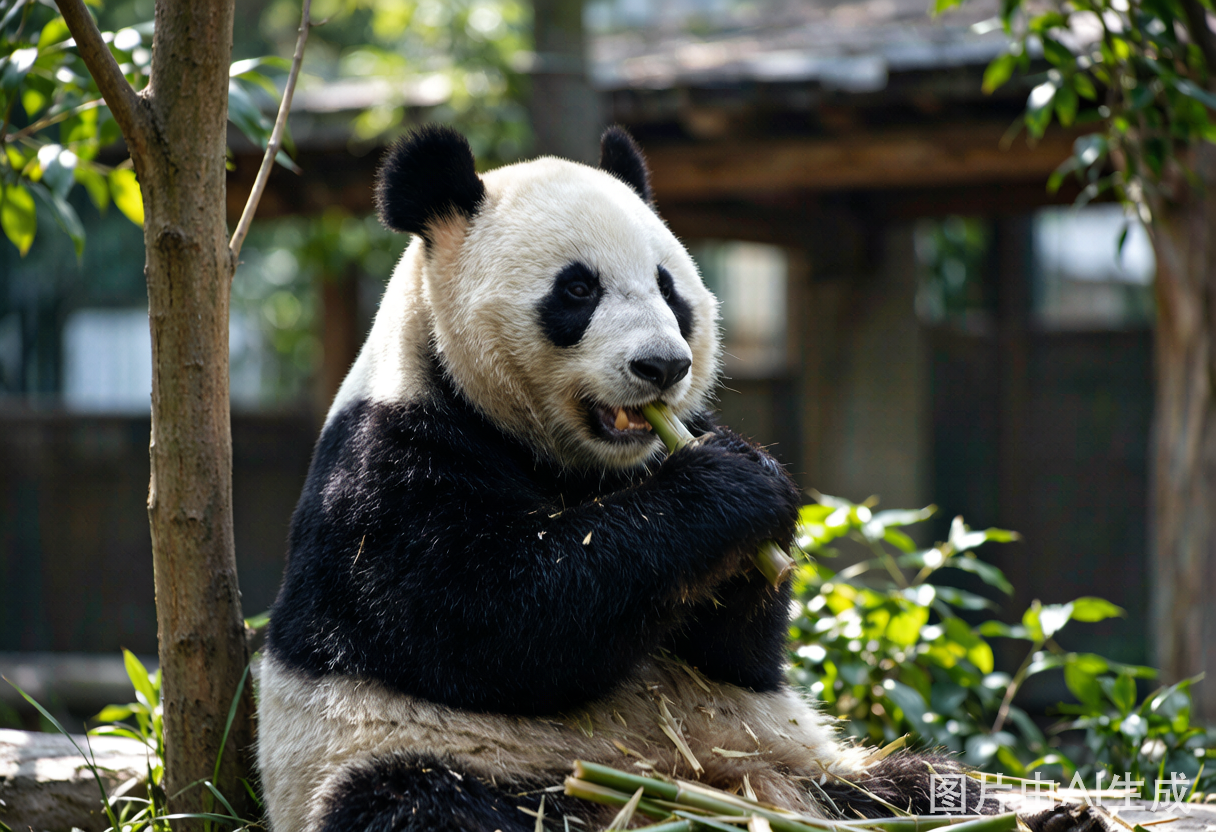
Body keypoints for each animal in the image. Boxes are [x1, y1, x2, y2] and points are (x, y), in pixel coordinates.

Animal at [257, 125, 986, 831]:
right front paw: (729, 490)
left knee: (925, 788)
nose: (662, 366)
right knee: (423, 803)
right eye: (578, 289)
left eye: (669, 288)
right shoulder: (388, 468)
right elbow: (493, 618)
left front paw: (765, 504)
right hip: (431, 758)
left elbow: (736, 658)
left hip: (805, 760)